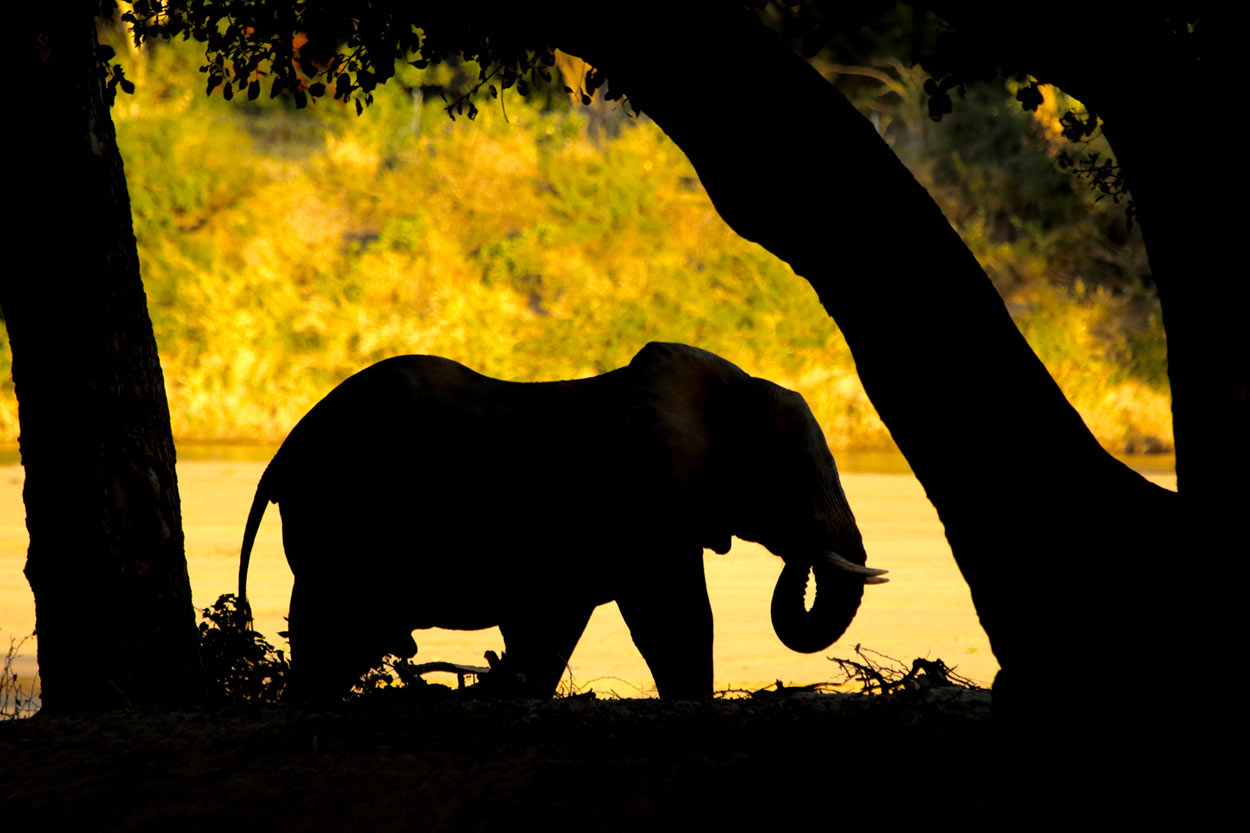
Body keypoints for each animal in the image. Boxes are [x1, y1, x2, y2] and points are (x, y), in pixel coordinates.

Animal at [238, 341, 887, 700]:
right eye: (793, 471)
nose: (800, 551)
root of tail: (285, 448)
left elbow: (552, 629)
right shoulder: (643, 505)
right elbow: (675, 619)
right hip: (341, 511)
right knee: (335, 627)